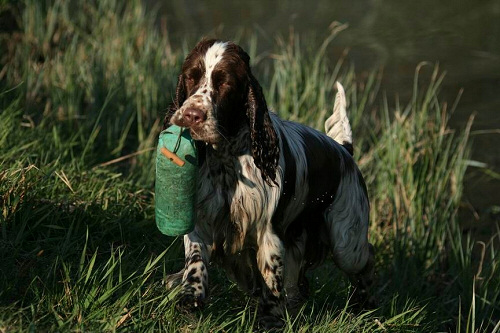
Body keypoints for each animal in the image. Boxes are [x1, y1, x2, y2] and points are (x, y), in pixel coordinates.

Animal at [162, 39, 374, 326]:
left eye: (225, 83)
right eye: (190, 77)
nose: (191, 115)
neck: (226, 159)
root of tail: (344, 150)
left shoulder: (268, 233)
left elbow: (271, 281)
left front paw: (270, 320)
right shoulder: (203, 219)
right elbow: (196, 260)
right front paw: (191, 295)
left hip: (346, 240)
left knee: (365, 259)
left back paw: (365, 306)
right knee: (300, 285)